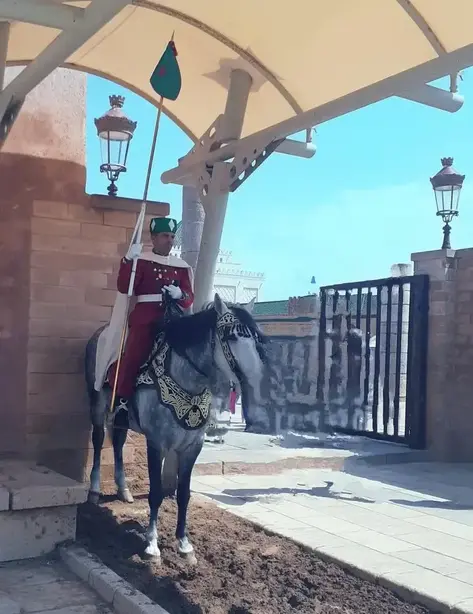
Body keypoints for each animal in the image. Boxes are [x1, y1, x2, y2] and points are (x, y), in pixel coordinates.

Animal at [84, 294, 267, 560]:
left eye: (254, 338)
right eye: (231, 337)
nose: (257, 378)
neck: (187, 380)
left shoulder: (192, 447)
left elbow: (183, 494)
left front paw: (184, 543)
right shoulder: (156, 443)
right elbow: (156, 493)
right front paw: (152, 544)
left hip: (121, 418)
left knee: (117, 443)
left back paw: (124, 489)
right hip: (97, 406)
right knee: (98, 442)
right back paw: (95, 490)